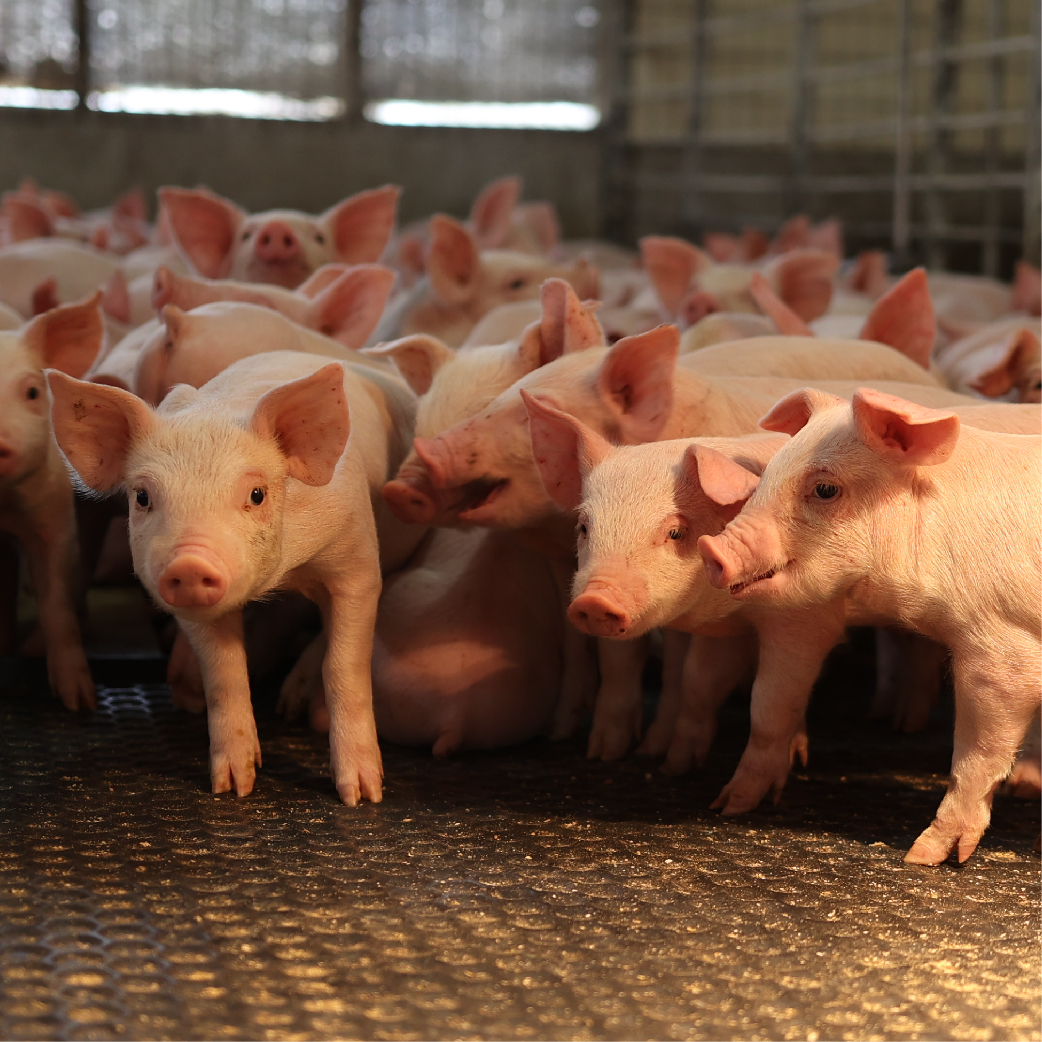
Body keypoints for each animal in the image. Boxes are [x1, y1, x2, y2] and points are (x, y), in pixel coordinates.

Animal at [47, 352, 414, 804]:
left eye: (257, 494)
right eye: (142, 497)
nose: (189, 565)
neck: (286, 574)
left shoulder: (357, 559)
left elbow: (345, 666)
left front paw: (362, 795)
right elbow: (225, 674)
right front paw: (233, 788)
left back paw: (293, 708)